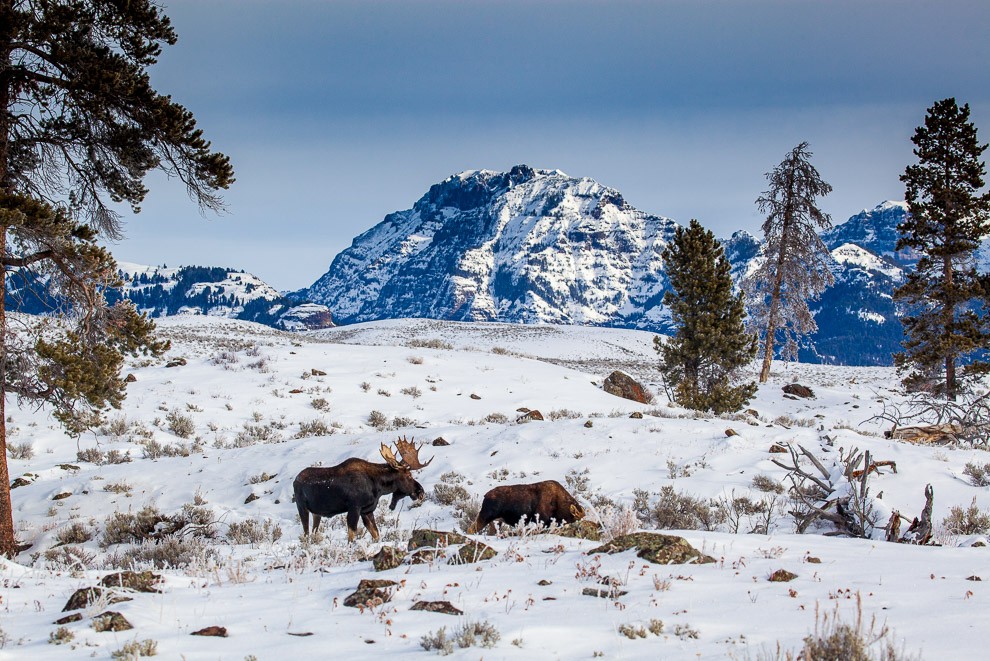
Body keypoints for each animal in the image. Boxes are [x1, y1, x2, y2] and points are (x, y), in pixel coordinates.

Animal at [294, 434, 434, 540]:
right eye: (409, 475)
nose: (420, 491)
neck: (378, 486)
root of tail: (295, 480)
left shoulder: (367, 510)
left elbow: (376, 534)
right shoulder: (354, 508)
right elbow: (352, 537)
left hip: (316, 513)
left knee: (313, 532)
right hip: (302, 507)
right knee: (306, 533)